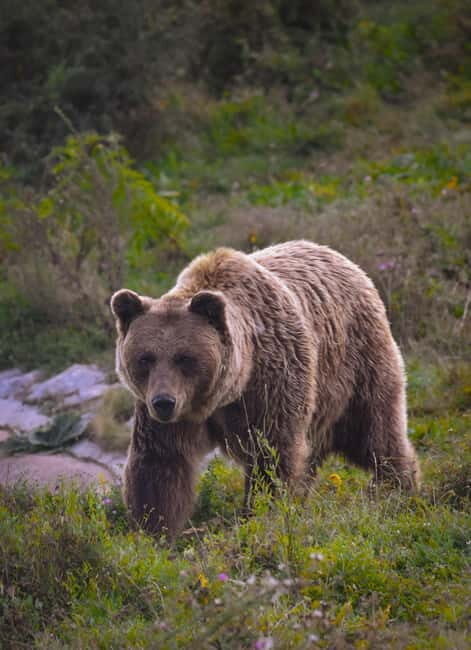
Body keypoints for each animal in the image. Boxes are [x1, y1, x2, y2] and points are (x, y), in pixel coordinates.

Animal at [110, 240, 420, 539]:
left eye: (184, 358)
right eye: (145, 358)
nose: (164, 402)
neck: (224, 393)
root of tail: (346, 262)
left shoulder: (271, 384)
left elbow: (272, 456)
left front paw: (259, 516)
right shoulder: (168, 415)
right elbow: (160, 464)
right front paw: (154, 532)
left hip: (355, 367)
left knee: (376, 432)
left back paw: (398, 489)